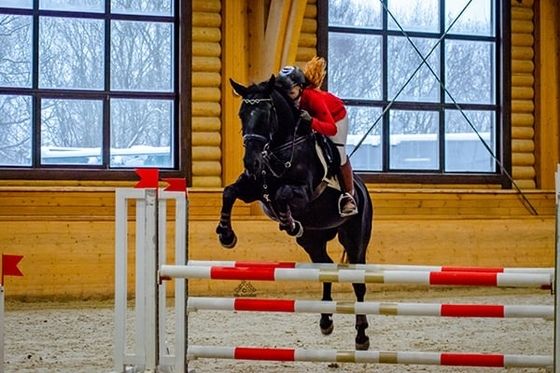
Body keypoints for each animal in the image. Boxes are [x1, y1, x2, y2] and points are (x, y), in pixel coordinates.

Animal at [217, 75, 374, 348]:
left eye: (266, 114)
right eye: (242, 114)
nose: (250, 163)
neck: (278, 147)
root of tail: (362, 190)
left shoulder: (303, 193)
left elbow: (282, 195)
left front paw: (289, 222)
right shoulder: (252, 189)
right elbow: (229, 192)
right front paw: (227, 236)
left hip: (354, 239)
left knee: (358, 283)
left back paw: (361, 335)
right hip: (313, 240)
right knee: (326, 268)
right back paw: (325, 321)